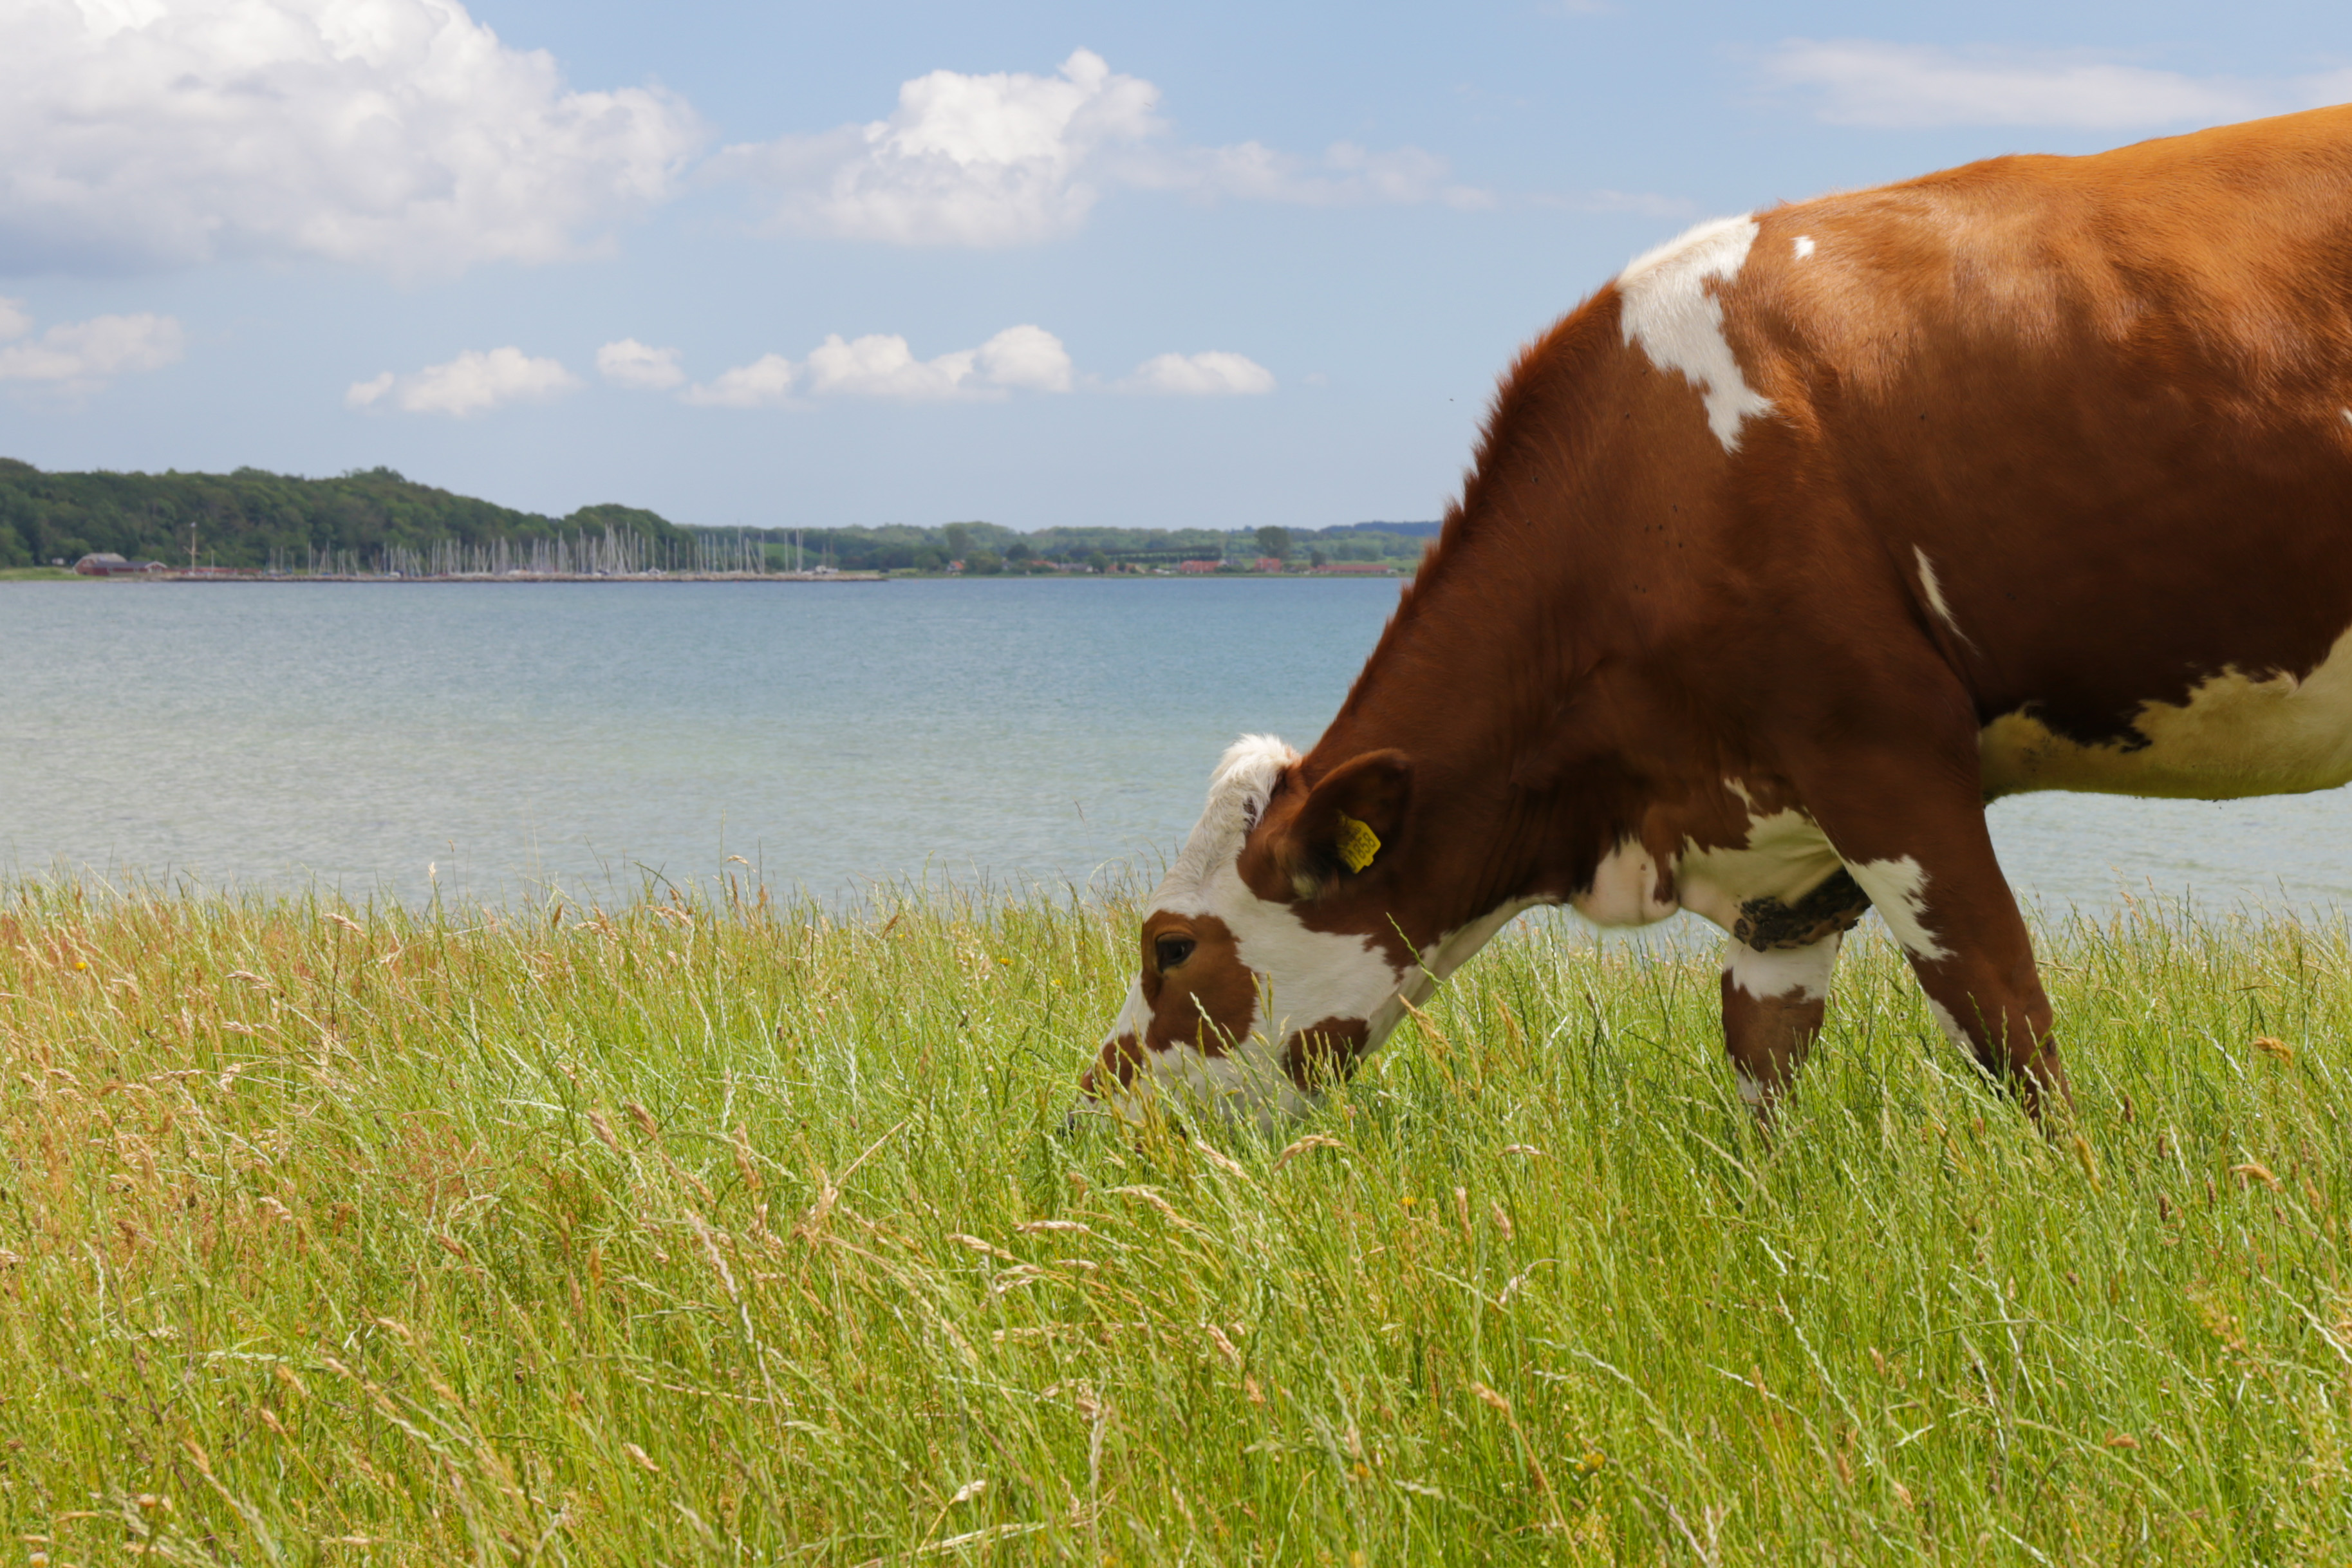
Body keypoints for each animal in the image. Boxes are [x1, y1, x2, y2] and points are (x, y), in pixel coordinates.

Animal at [1081, 110, 2352, 1133]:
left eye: (1170, 947)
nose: (1085, 1113)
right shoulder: (1780, 859)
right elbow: (1761, 1053)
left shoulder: (1881, 754)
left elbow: (2000, 1014)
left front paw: (2073, 1195)